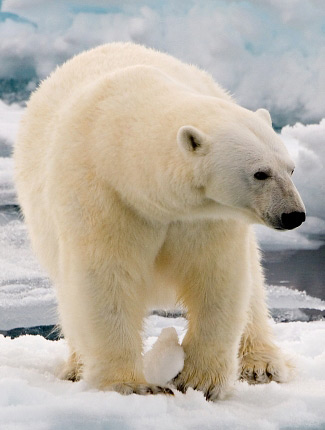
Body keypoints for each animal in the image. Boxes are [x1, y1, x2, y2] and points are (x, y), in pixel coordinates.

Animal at [13, 42, 306, 400]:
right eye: (259, 173)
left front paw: (200, 380)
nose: (294, 215)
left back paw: (261, 364)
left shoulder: (206, 217)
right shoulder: (103, 197)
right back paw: (76, 366)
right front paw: (130, 385)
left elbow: (217, 277)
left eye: (291, 168)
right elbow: (104, 280)